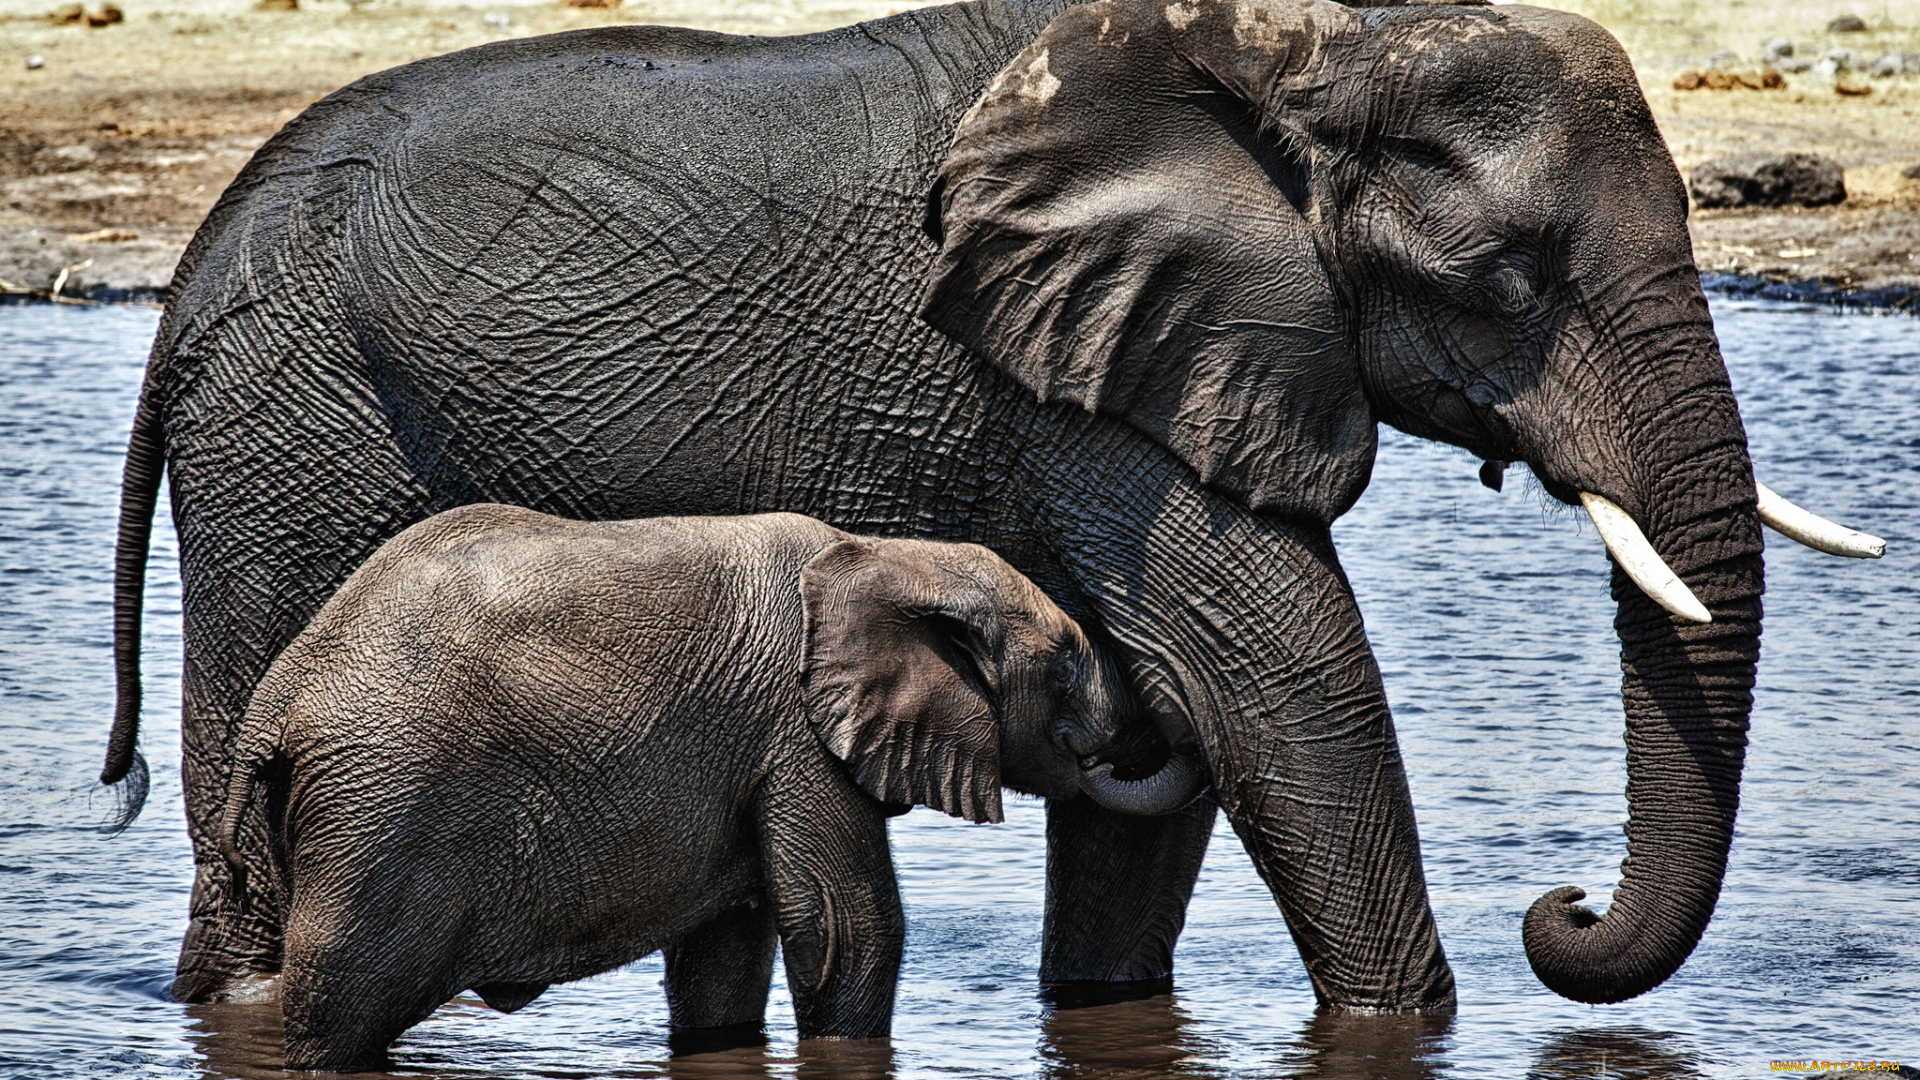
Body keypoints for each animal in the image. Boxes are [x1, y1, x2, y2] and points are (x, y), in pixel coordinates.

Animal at [220, 503, 1198, 1068]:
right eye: (1066, 663)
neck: (883, 556)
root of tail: (276, 702)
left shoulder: (750, 752)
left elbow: (728, 951)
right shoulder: (795, 734)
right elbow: (848, 928)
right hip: (378, 805)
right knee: (339, 998)